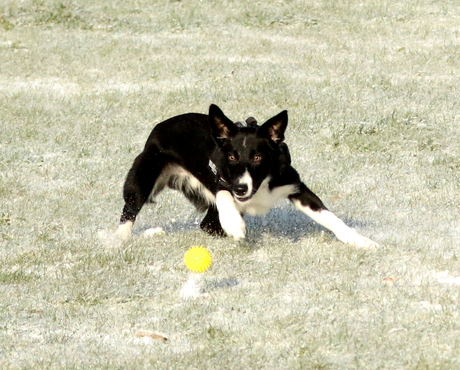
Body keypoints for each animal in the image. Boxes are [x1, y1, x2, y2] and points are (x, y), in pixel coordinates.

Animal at [117, 104, 380, 249]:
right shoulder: (221, 179)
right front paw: (234, 224)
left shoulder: (294, 186)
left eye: (258, 157)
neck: (260, 184)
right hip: (142, 176)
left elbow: (330, 217)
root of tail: (161, 125)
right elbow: (224, 195)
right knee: (129, 211)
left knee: (207, 225)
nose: (242, 190)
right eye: (232, 157)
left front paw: (360, 240)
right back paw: (118, 241)